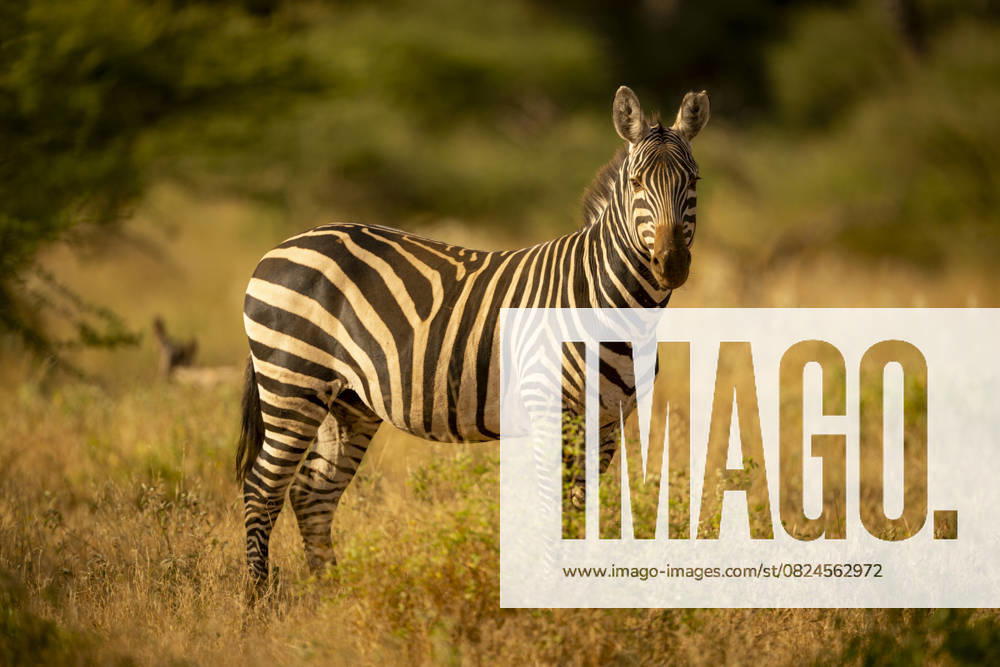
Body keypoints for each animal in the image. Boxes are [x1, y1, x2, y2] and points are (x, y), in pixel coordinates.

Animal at [235, 85, 710, 596]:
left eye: (694, 181)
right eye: (637, 183)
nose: (670, 264)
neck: (617, 311)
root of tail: (285, 244)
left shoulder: (608, 422)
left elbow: (584, 510)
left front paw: (584, 591)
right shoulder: (554, 413)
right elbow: (554, 510)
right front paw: (554, 595)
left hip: (347, 401)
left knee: (312, 493)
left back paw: (332, 595)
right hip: (292, 380)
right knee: (262, 488)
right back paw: (259, 598)